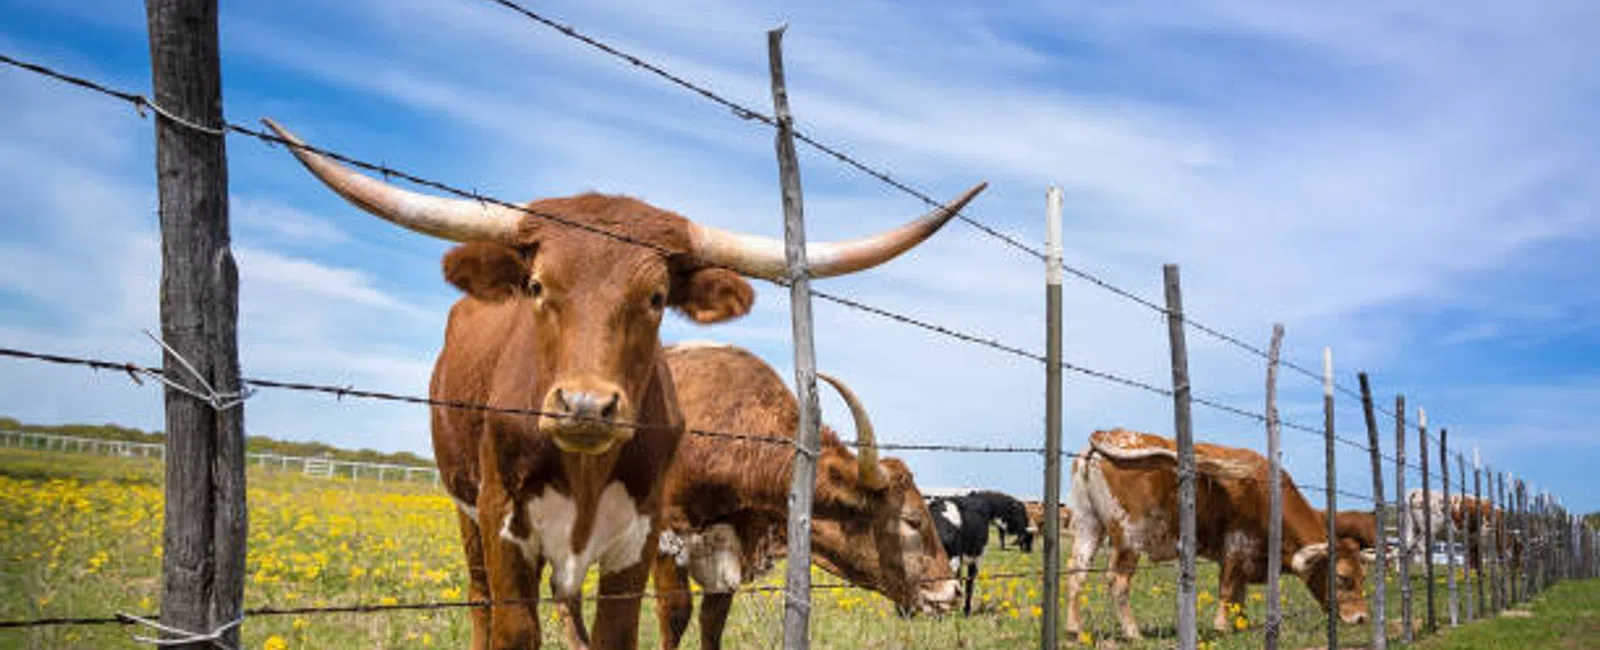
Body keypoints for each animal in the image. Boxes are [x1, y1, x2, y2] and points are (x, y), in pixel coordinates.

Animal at [650, 343, 960, 650]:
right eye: (912, 520)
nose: (953, 589)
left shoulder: (729, 555)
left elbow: (713, 621)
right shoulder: (667, 537)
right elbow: (676, 613)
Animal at [1066, 429, 1370, 639]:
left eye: (1363, 577)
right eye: (1343, 578)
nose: (1362, 618)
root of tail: (1110, 433)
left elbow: (1239, 594)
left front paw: (1241, 625)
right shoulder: (1235, 545)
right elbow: (1227, 589)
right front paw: (1222, 627)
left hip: (1087, 525)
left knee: (1076, 575)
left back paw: (1074, 631)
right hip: (1129, 536)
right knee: (1117, 582)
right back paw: (1133, 633)